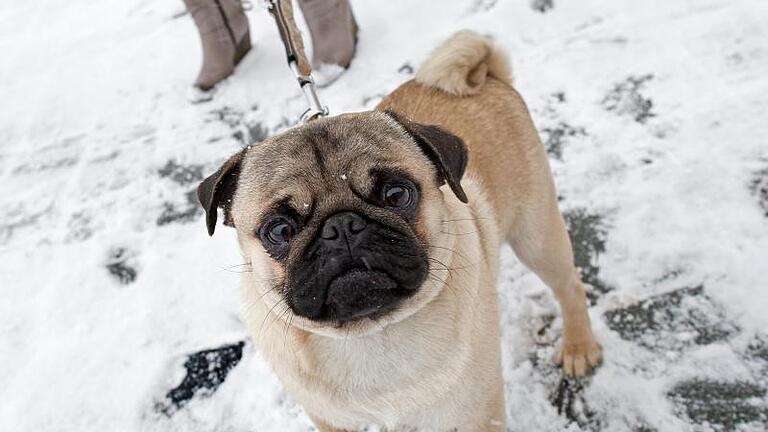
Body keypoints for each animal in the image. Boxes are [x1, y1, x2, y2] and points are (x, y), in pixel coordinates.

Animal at [196, 31, 600, 432]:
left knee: (568, 286)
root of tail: (487, 75)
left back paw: (578, 347)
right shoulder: (329, 420)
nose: (341, 227)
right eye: (279, 230)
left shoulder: (475, 414)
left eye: (397, 194)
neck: (371, 334)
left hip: (536, 236)